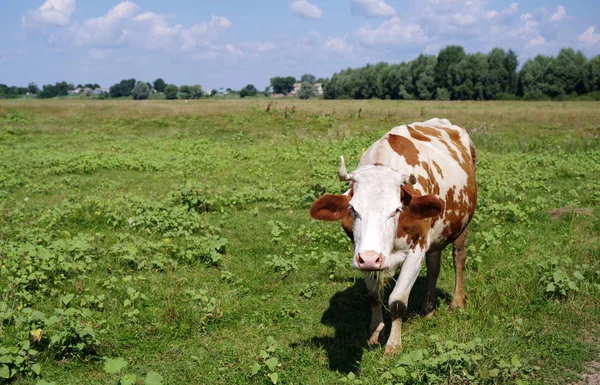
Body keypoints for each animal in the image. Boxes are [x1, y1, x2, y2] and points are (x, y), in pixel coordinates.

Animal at [310, 117, 478, 354]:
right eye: (352, 208)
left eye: (397, 209)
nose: (371, 258)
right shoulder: (361, 252)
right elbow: (374, 296)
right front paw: (375, 332)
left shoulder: (417, 248)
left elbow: (397, 301)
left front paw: (393, 345)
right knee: (434, 266)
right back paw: (428, 308)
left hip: (463, 224)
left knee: (459, 258)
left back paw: (457, 302)